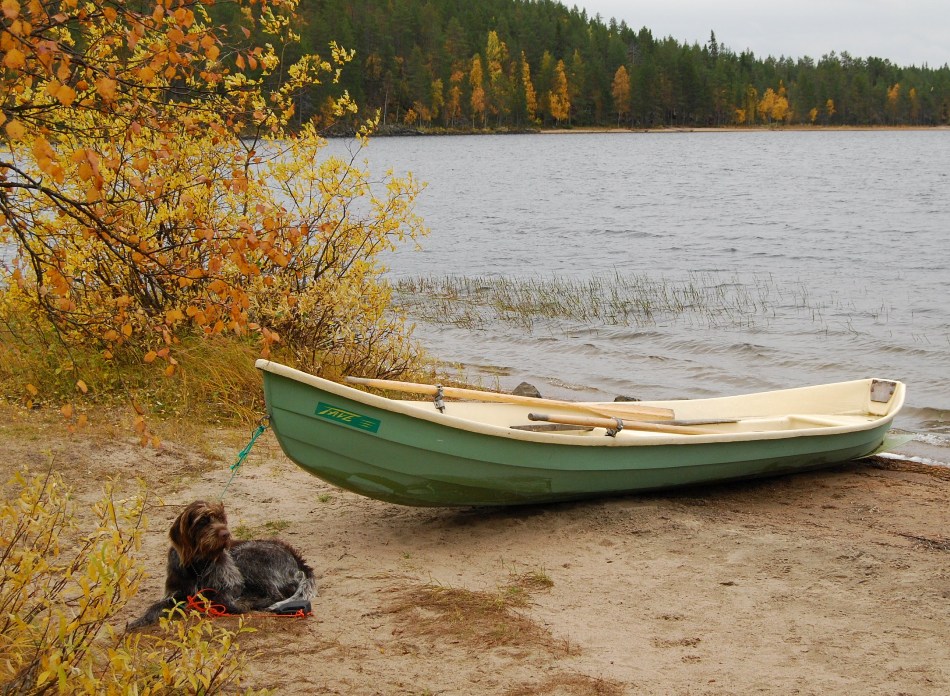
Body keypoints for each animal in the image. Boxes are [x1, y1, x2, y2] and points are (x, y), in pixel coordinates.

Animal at [127, 498, 316, 628]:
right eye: (203, 520)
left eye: (221, 518)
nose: (226, 534)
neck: (198, 565)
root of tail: (297, 558)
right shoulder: (176, 592)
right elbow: (156, 606)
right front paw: (139, 620)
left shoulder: (232, 585)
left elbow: (224, 600)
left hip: (245, 557)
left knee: (276, 594)